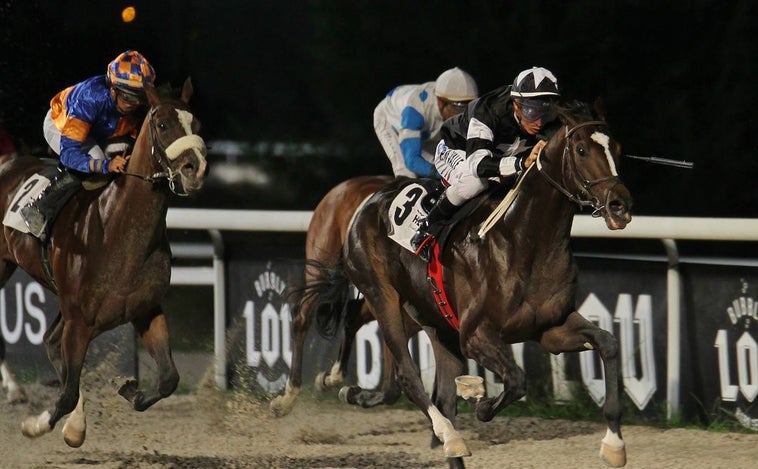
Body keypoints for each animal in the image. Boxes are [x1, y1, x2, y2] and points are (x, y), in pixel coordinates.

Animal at [0, 77, 208, 446]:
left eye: (195, 124)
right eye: (161, 124)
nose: (194, 169)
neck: (117, 230)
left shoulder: (145, 310)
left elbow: (168, 379)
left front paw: (126, 388)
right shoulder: (79, 319)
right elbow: (66, 393)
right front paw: (36, 424)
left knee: (51, 341)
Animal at [314, 100, 636, 466]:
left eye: (617, 149)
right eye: (581, 149)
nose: (620, 205)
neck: (524, 241)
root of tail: (365, 204)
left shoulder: (550, 328)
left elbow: (608, 344)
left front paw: (614, 444)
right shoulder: (475, 335)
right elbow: (516, 380)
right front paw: (479, 398)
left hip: (435, 322)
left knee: (436, 392)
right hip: (384, 297)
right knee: (407, 376)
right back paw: (446, 432)